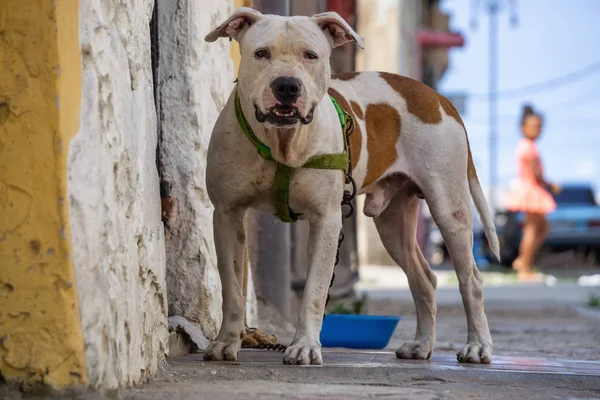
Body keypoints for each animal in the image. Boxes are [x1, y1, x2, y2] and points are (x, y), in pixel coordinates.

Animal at [204, 8, 500, 366]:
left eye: (311, 55)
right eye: (261, 54)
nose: (287, 86)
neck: (281, 143)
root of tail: (437, 97)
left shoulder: (327, 220)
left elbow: (315, 290)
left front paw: (305, 346)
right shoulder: (227, 215)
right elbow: (231, 289)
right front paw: (226, 342)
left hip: (449, 209)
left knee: (471, 280)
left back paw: (478, 346)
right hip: (392, 224)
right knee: (425, 280)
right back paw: (421, 345)